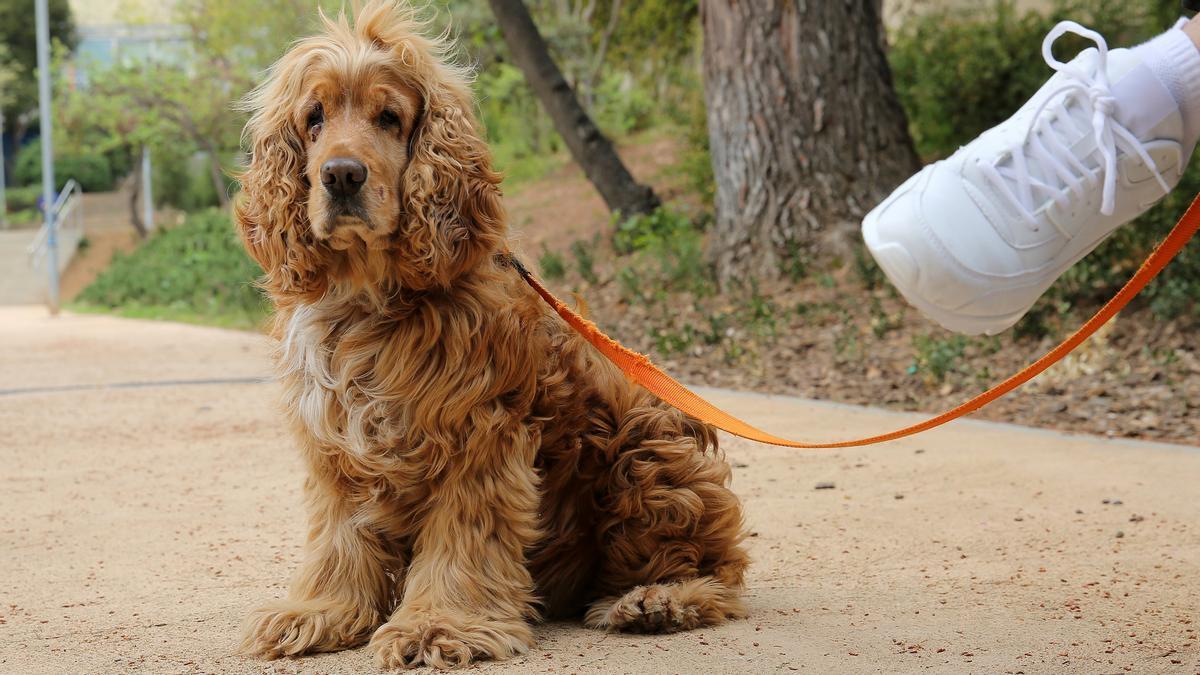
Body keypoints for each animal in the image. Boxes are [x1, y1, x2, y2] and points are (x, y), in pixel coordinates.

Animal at [234, 0, 748, 662]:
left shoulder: (478, 436)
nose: (341, 176)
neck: (371, 299)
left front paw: (438, 625)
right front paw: (319, 611)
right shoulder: (334, 443)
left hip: (645, 448)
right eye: (314, 118)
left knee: (717, 569)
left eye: (389, 117)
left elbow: (463, 537)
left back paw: (656, 599)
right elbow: (338, 537)